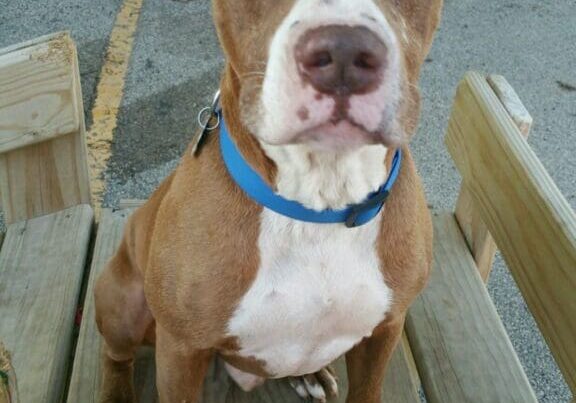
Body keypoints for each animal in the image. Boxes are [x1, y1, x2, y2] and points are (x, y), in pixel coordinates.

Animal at [97, 1, 444, 402]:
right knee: (116, 356)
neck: (319, 206)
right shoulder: (180, 349)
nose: (343, 52)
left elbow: (367, 389)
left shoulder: (386, 329)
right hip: (122, 304)